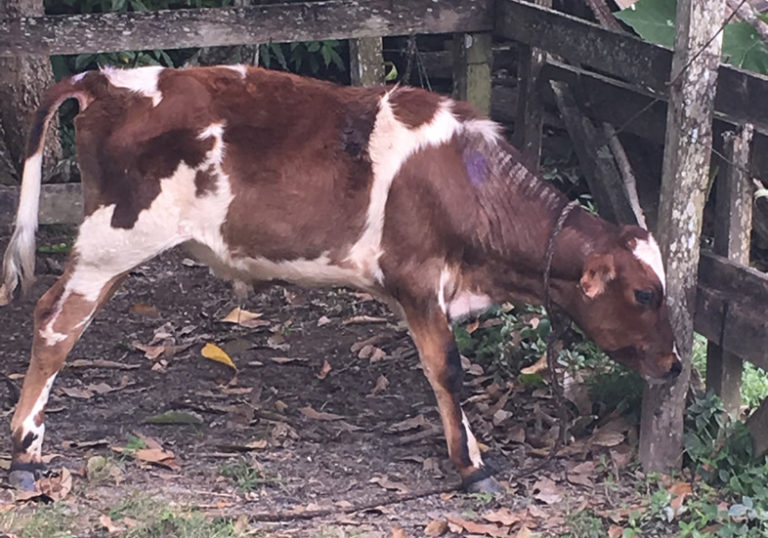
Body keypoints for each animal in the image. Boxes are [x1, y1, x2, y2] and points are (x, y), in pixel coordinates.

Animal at [3, 65, 680, 492]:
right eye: (644, 293)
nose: (676, 366)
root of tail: (103, 79)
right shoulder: (416, 277)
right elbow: (448, 370)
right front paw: (472, 465)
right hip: (111, 242)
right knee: (54, 324)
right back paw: (26, 448)